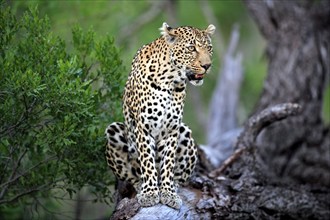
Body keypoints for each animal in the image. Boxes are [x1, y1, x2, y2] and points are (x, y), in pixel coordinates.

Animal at [104, 22, 215, 210]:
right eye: (191, 48)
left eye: (209, 48)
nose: (207, 66)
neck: (171, 80)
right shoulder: (143, 127)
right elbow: (147, 161)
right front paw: (149, 193)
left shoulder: (172, 128)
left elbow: (168, 162)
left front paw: (168, 192)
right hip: (114, 130)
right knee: (133, 175)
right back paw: (142, 186)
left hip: (185, 132)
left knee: (180, 176)